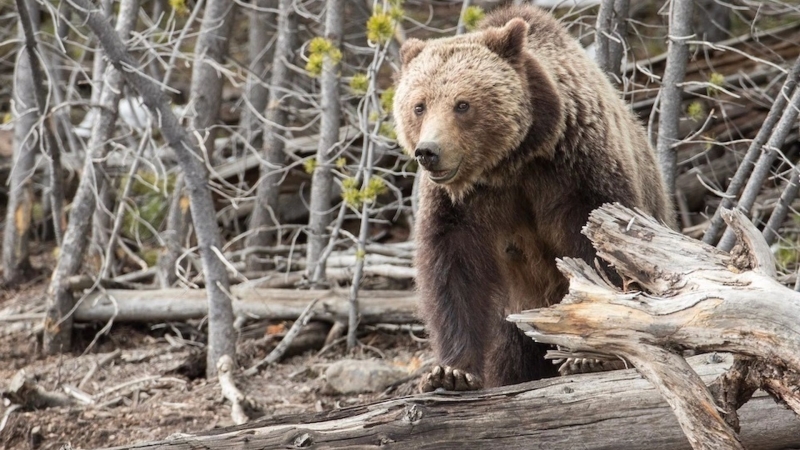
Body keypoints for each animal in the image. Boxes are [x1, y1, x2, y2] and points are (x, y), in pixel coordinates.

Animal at [394, 4, 676, 390]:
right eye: (419, 105)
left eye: (462, 104)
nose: (429, 152)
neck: (512, 161)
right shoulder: (460, 204)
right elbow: (453, 271)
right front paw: (451, 372)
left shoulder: (577, 171)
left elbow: (599, 252)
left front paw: (589, 357)